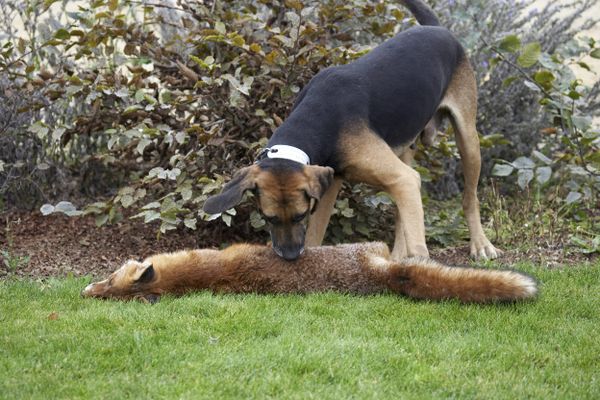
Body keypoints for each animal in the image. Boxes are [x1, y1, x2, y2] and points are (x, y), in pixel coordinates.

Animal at [204, 0, 500, 260]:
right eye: (269, 218)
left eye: (300, 215)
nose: (289, 257)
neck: (319, 116)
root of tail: (436, 27)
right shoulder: (329, 183)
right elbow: (315, 237)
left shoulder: (401, 179)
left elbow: (418, 238)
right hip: (406, 149)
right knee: (402, 212)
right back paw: (397, 256)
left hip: (467, 140)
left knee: (469, 198)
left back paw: (480, 245)